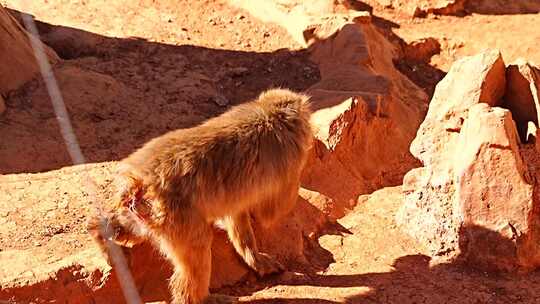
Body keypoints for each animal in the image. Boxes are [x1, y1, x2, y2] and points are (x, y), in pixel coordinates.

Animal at [87, 88, 314, 304]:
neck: (270, 113)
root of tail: (139, 182)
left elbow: (237, 213)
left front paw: (254, 257)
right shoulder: (289, 162)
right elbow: (270, 213)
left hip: (144, 213)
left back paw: (100, 233)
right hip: (175, 215)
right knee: (198, 244)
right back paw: (201, 298)